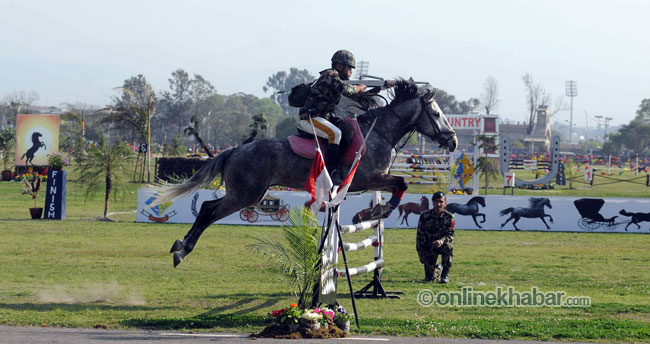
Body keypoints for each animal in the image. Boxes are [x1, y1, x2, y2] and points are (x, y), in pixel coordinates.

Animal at [154, 79, 456, 268]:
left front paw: (376, 211)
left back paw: (180, 247)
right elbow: (401, 182)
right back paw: (182, 249)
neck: (379, 132)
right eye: (436, 114)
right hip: (245, 195)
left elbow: (398, 184)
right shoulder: (367, 178)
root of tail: (235, 150)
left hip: (249, 194)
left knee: (208, 207)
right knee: (208, 209)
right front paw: (379, 211)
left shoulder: (370, 181)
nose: (452, 140)